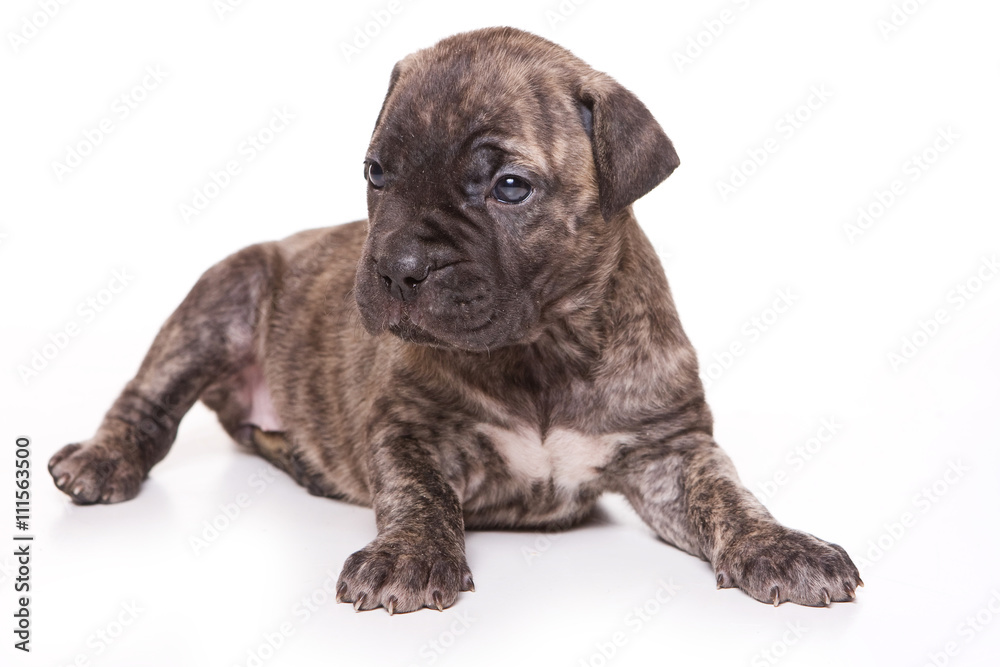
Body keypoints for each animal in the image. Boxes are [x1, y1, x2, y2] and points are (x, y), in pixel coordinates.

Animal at [48, 27, 860, 616]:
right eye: (376, 173)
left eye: (510, 186)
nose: (399, 266)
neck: (543, 349)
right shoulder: (407, 427)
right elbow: (419, 493)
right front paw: (408, 557)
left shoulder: (670, 448)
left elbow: (730, 494)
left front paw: (783, 545)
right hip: (222, 299)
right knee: (148, 399)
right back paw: (100, 460)